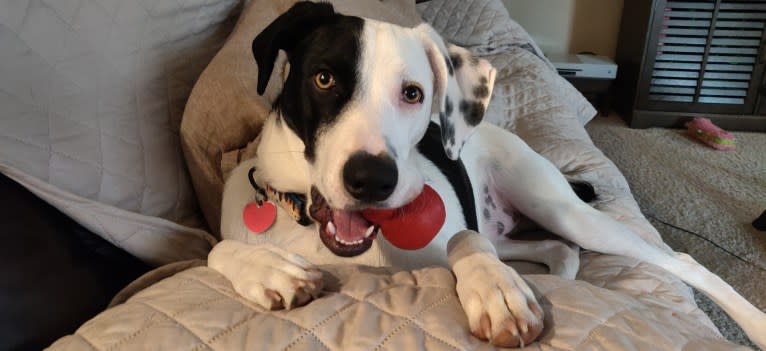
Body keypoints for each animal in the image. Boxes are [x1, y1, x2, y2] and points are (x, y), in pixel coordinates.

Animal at [208, 2, 766, 350]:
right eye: (323, 78)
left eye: (413, 93)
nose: (372, 180)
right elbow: (217, 251)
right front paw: (268, 268)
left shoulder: (454, 233)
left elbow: (464, 244)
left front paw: (496, 292)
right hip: (519, 229)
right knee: (555, 249)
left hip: (559, 208)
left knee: (682, 262)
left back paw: (754, 324)